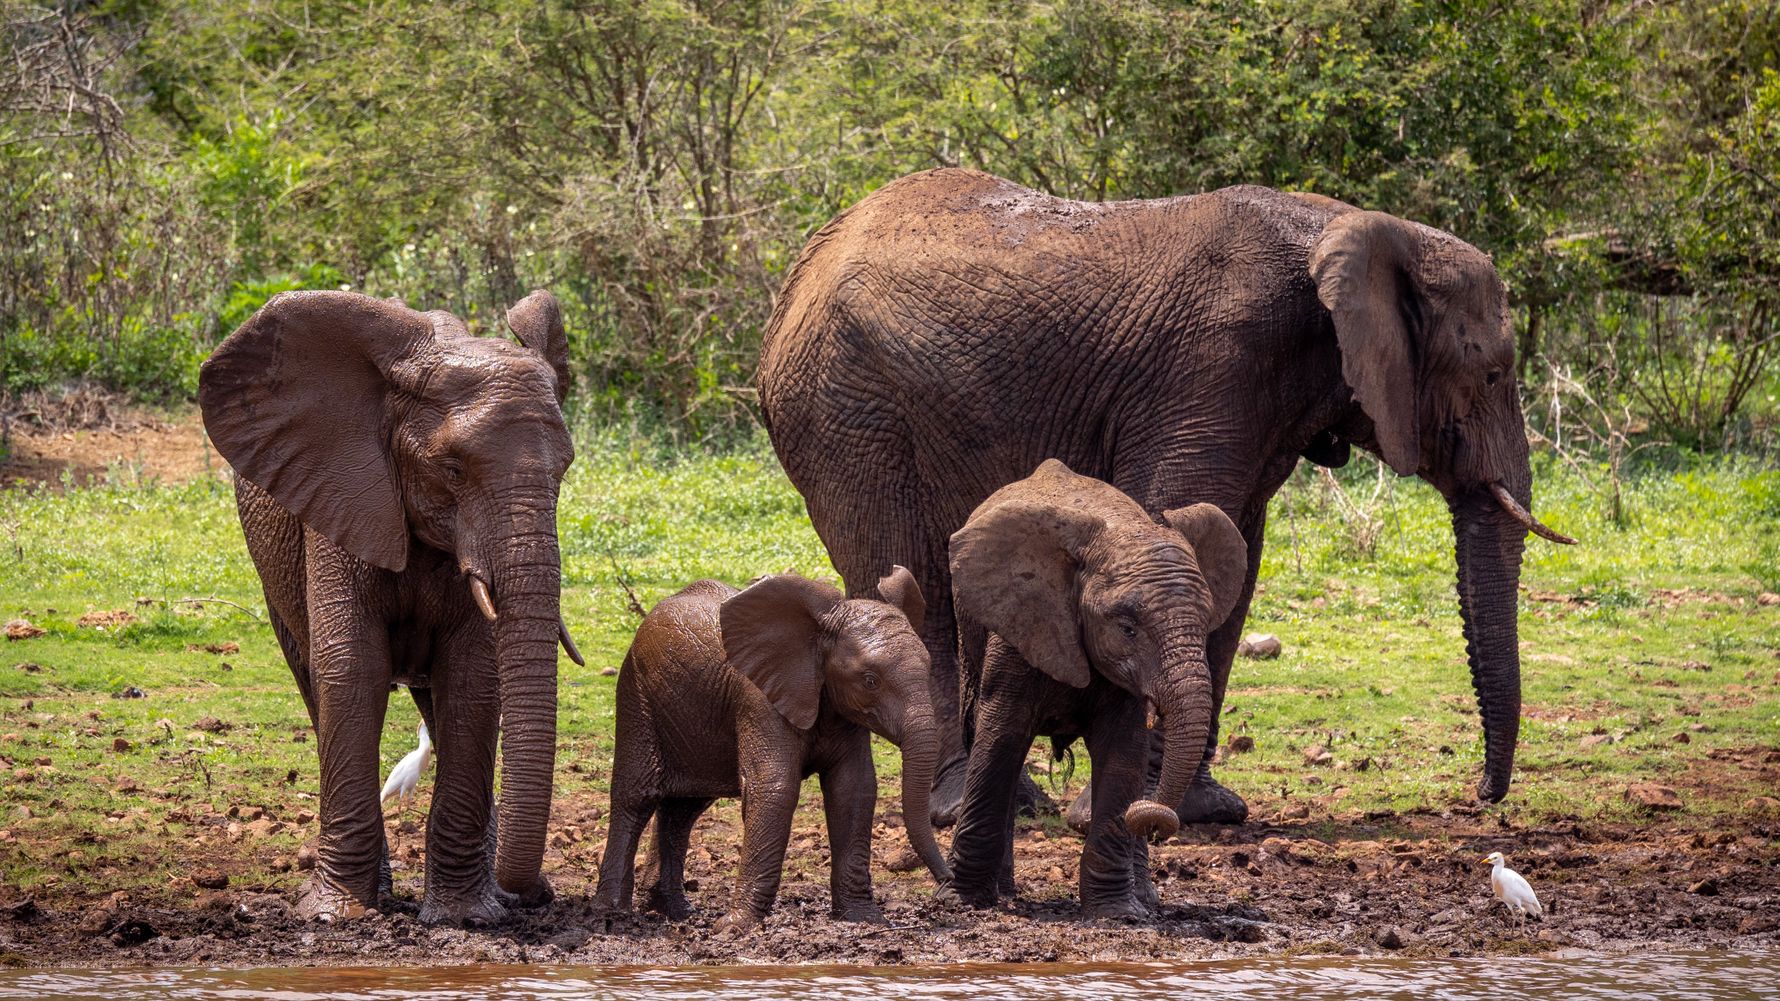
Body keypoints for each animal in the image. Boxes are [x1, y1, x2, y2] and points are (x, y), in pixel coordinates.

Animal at [198, 289, 581, 925]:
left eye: (565, 470)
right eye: (452, 470)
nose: (528, 893)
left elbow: (473, 679)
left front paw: (466, 917)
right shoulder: (339, 492)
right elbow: (352, 668)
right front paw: (337, 915)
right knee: (314, 684)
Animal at [592, 567, 950, 933]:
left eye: (927, 667)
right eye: (870, 681)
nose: (947, 882)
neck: (818, 631)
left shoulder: (842, 710)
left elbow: (854, 789)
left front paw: (864, 918)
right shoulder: (758, 698)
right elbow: (775, 787)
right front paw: (735, 927)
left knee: (684, 809)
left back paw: (675, 912)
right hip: (636, 692)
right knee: (638, 795)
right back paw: (613, 912)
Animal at [756, 168, 1573, 828]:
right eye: (1494, 374)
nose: (1481, 796)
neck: (1353, 226)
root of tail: (795, 280)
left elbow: (1236, 547)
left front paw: (1206, 811)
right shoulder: (1216, 365)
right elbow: (1179, 515)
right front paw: (1138, 808)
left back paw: (1015, 802)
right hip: (847, 410)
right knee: (913, 570)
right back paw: (962, 805)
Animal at [942, 460, 1245, 917]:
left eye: (1205, 620)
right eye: (1127, 628)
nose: (1151, 817)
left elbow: (1123, 755)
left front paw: (1119, 914)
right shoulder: (1018, 623)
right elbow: (998, 740)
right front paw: (960, 902)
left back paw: (1144, 898)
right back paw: (1005, 892)